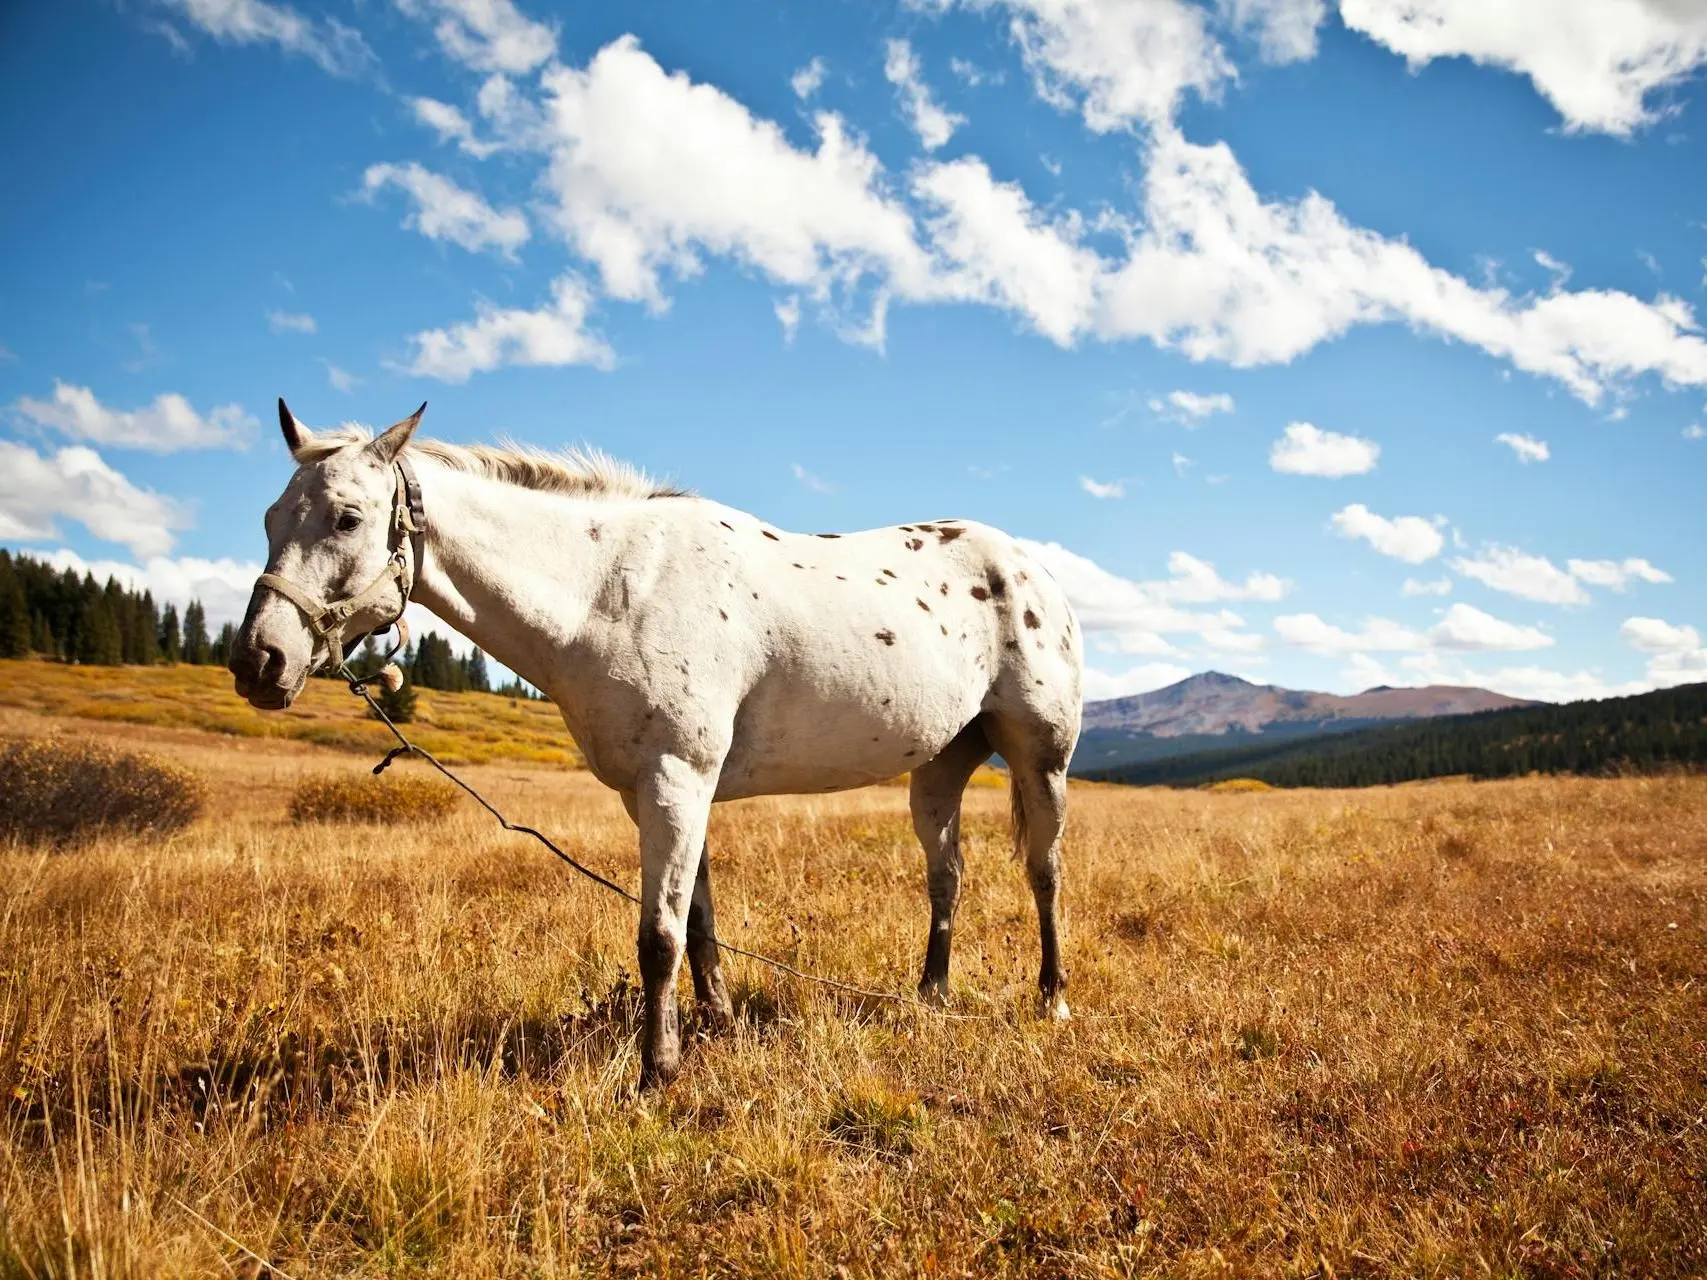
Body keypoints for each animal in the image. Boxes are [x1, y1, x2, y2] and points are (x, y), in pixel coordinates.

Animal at [230, 406, 1078, 1085]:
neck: (608, 590)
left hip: (1041, 759)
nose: (257, 661)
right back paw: (931, 996)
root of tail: (1027, 565)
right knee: (946, 876)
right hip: (939, 766)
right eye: (269, 518)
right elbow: (696, 923)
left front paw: (657, 1071)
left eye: (346, 518)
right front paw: (715, 1027)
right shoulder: (657, 792)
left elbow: (658, 936)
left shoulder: (677, 778)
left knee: (1043, 874)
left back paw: (1051, 998)